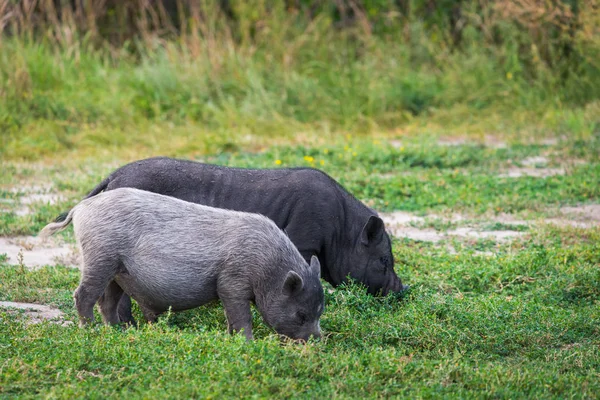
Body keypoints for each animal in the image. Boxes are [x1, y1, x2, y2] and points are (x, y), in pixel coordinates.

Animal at [39, 188, 324, 340]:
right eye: (301, 314)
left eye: (320, 311)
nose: (318, 339)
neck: (266, 268)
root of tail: (81, 207)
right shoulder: (232, 281)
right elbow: (241, 315)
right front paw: (248, 342)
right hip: (99, 258)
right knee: (83, 295)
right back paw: (90, 331)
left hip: (117, 270)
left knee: (107, 302)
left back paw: (117, 332)